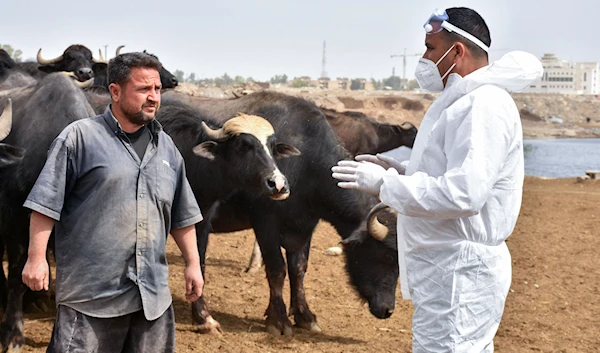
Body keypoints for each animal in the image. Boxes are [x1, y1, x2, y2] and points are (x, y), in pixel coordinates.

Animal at [156, 91, 384, 332]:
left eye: (273, 147)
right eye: (243, 145)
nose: (278, 184)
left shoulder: (303, 225)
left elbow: (298, 269)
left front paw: (304, 315)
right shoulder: (265, 222)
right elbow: (277, 269)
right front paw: (279, 319)